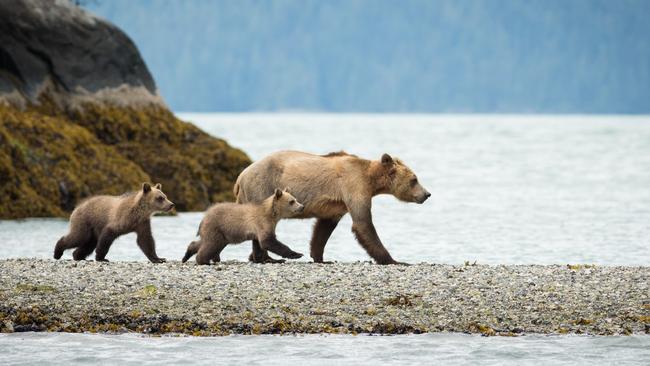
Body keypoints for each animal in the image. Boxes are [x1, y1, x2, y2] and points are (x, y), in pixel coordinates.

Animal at [234, 150, 430, 264]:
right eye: (414, 179)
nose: (427, 194)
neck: (372, 180)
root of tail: (240, 176)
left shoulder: (338, 204)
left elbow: (324, 228)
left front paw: (319, 257)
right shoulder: (354, 187)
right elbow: (363, 223)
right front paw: (394, 260)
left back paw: (260, 256)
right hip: (262, 187)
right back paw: (266, 257)